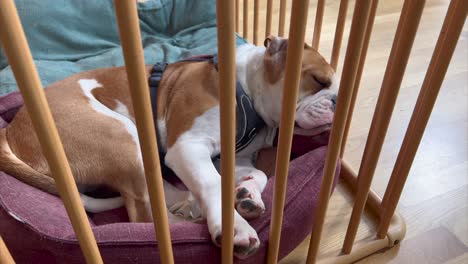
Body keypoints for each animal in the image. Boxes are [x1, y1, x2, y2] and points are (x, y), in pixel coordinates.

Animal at [0, 36, 336, 258]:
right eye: (319, 80)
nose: (336, 100)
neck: (245, 88)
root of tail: (12, 131)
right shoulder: (188, 148)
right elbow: (212, 183)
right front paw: (233, 226)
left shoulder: (233, 158)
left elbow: (258, 174)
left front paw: (247, 194)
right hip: (122, 135)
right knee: (145, 216)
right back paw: (191, 217)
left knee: (160, 191)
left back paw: (192, 204)